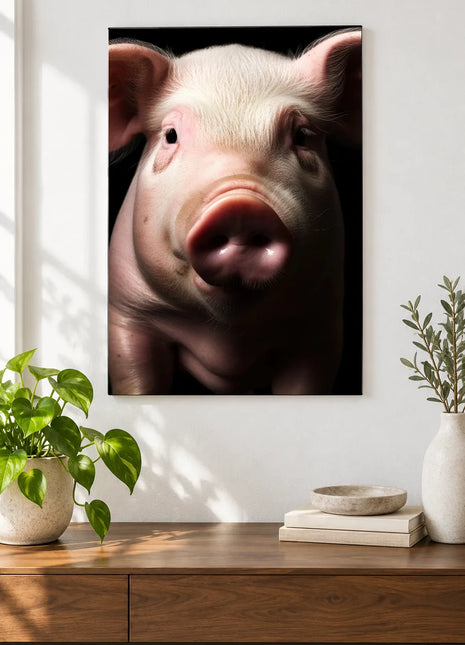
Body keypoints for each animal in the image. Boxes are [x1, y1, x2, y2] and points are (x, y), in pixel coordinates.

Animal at [108, 29, 362, 395]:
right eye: (171, 135)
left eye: (302, 136)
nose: (240, 206)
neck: (227, 342)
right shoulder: (128, 313)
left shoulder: (320, 326)